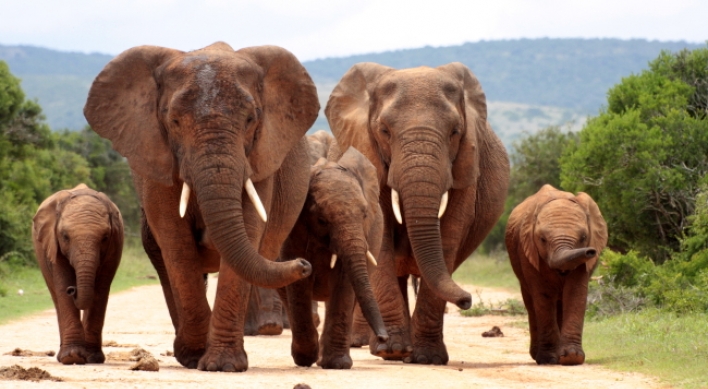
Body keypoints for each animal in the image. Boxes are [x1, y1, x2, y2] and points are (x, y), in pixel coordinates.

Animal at [31, 183, 124, 364]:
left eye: (105, 237)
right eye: (65, 237)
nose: (72, 290)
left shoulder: (114, 245)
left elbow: (101, 289)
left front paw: (92, 358)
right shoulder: (53, 243)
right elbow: (62, 283)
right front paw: (72, 357)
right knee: (56, 296)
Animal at [83, 41, 318, 372]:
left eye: (251, 120)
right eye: (174, 122)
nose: (304, 264)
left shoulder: (259, 158)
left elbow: (248, 232)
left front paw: (223, 365)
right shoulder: (156, 158)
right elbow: (176, 243)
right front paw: (196, 357)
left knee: (265, 259)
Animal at [280, 143, 388, 370]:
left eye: (365, 215)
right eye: (322, 220)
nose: (383, 338)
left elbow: (344, 281)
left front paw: (337, 364)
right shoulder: (293, 230)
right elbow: (299, 282)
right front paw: (306, 359)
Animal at [326, 61, 508, 364]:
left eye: (455, 132)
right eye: (384, 131)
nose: (467, 300)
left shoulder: (466, 166)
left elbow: (448, 236)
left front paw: (427, 358)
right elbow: (382, 236)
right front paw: (394, 351)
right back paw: (385, 347)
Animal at [504, 183, 608, 366]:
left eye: (584, 237)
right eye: (542, 239)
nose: (590, 252)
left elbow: (575, 292)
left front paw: (571, 358)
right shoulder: (528, 251)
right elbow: (543, 295)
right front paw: (549, 359)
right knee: (531, 303)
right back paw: (538, 356)